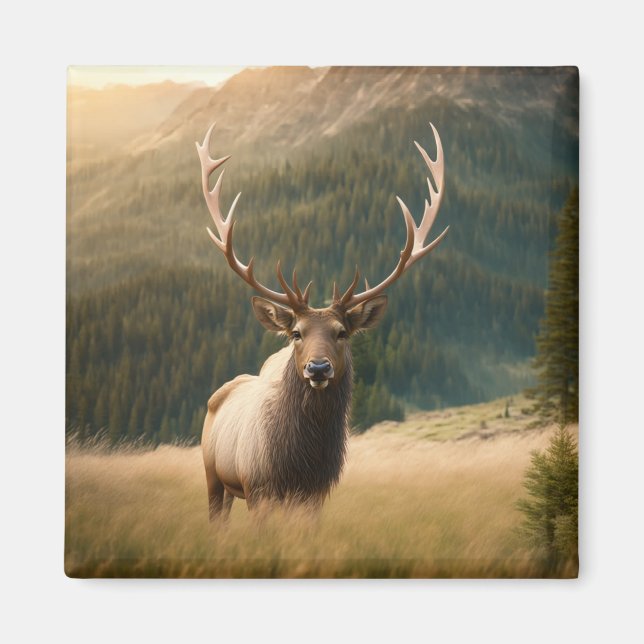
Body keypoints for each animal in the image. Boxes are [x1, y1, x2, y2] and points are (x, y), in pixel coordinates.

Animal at [197, 122, 449, 521]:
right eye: (296, 333)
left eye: (342, 332)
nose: (318, 367)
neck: (301, 459)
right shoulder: (258, 488)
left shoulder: (315, 493)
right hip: (213, 476)